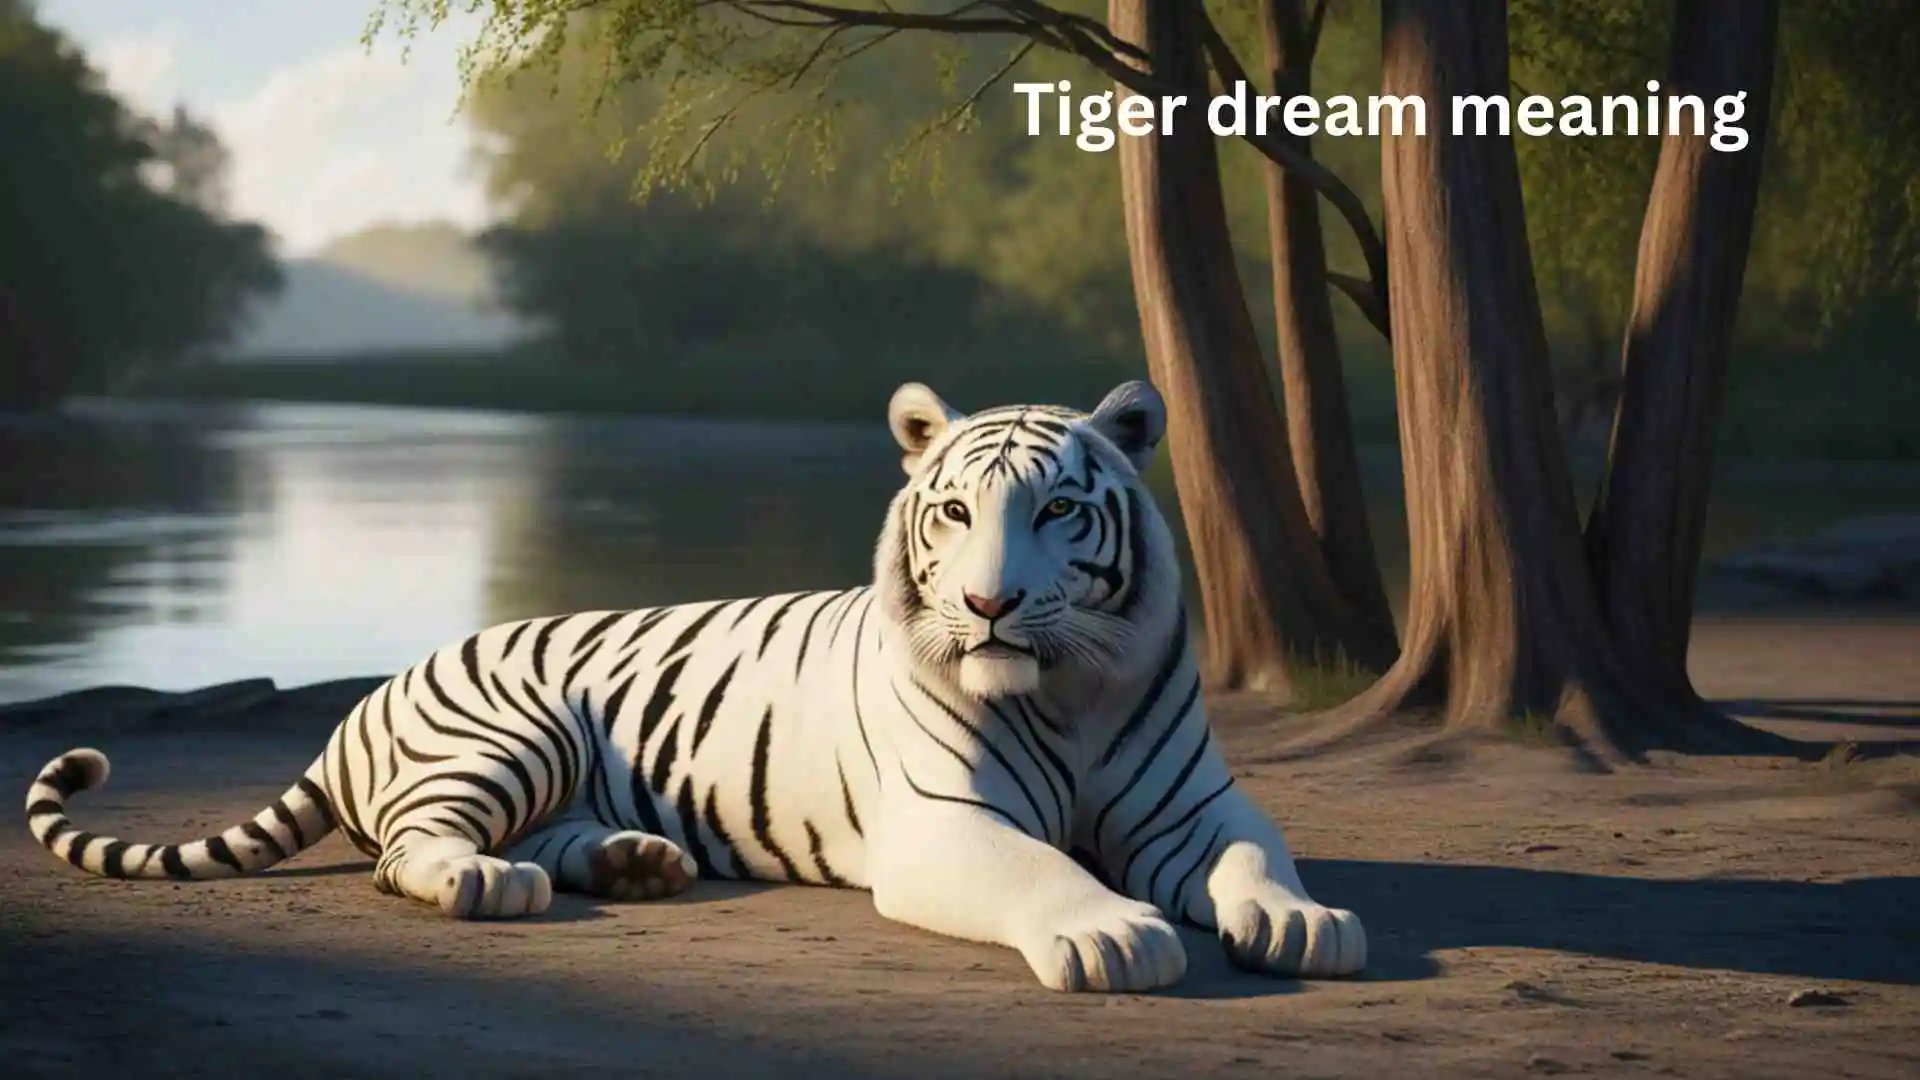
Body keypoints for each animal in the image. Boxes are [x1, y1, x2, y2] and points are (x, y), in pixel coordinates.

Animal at [25, 379, 1366, 993]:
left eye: (1056, 512)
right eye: (954, 515)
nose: (988, 605)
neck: (1066, 692)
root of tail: (372, 692)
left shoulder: (1196, 806)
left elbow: (1254, 857)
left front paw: (1304, 922)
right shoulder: (945, 822)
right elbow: (1045, 871)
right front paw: (1112, 934)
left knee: (542, 835)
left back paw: (635, 863)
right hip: (508, 733)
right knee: (413, 850)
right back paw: (489, 885)